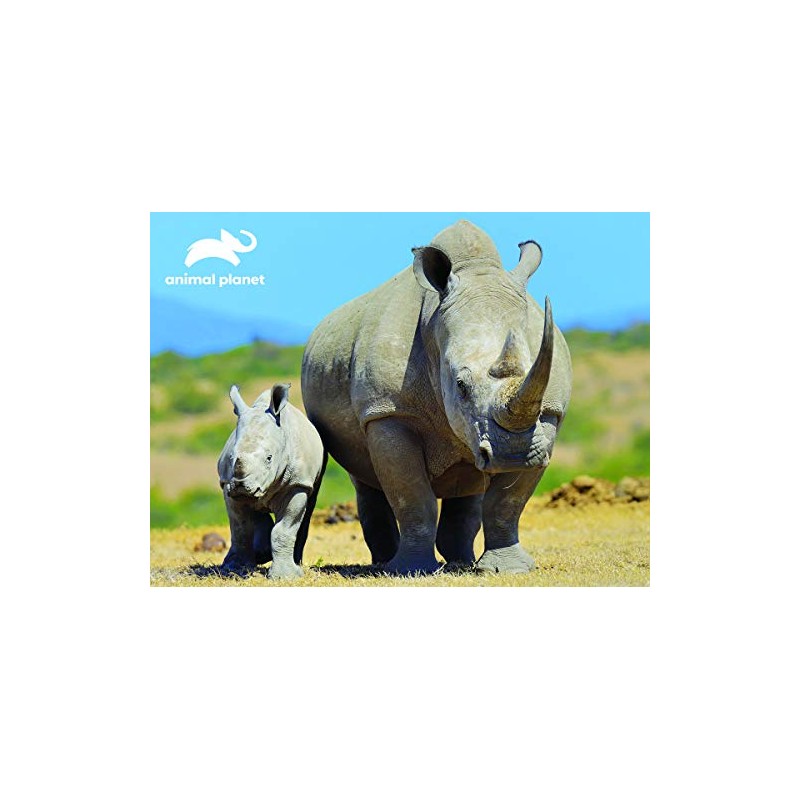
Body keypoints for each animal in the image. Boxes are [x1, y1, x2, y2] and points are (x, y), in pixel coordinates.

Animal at [217, 383, 326, 579]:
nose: (241, 486)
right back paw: (259, 554)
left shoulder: (297, 483)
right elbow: (240, 529)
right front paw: (235, 569)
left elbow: (284, 529)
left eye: (269, 458)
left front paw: (286, 576)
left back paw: (296, 563)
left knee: (307, 509)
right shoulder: (227, 484)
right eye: (231, 457)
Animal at [301, 220, 572, 575]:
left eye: (536, 371)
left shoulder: (548, 414)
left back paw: (462, 562)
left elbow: (506, 502)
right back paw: (384, 563)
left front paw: (509, 569)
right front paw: (408, 570)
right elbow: (413, 497)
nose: (512, 454)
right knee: (364, 477)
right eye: (460, 385)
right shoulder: (388, 412)